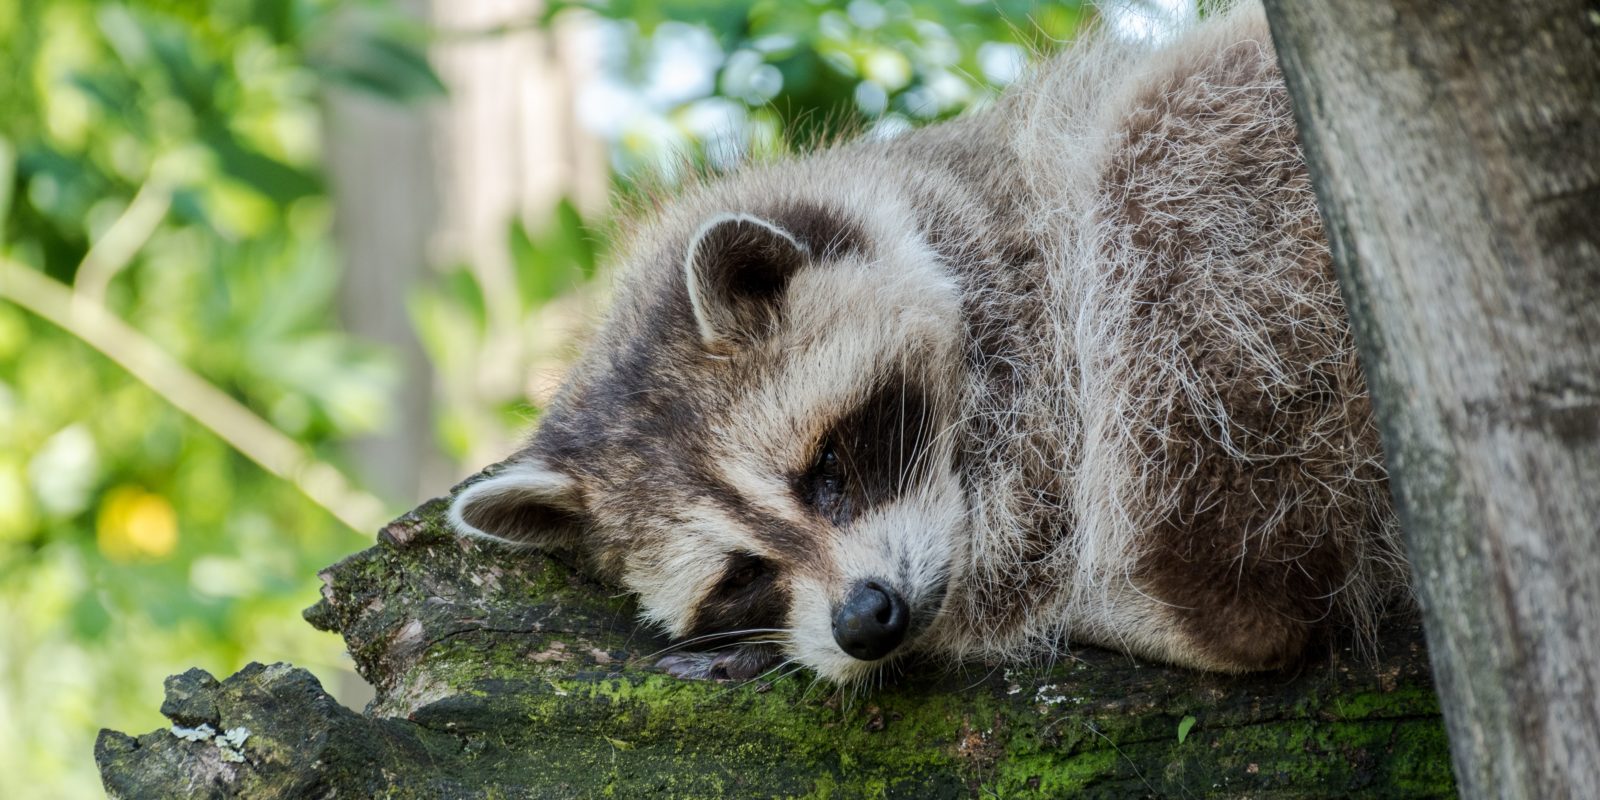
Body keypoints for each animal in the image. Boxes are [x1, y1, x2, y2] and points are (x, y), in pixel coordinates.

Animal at [444, 1, 1408, 688]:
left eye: (828, 466)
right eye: (740, 576)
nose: (867, 620)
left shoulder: (1040, 340)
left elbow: (1028, 542)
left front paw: (985, 615)